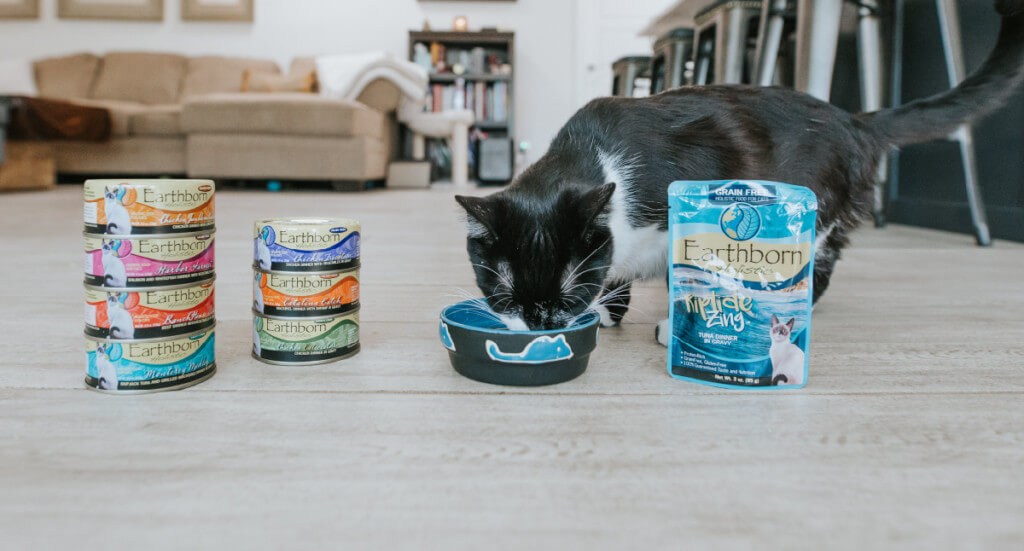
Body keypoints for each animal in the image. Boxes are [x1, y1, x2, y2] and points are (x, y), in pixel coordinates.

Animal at [458, 1, 1024, 333]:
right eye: (505, 293)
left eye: (567, 290)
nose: (541, 323)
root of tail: (854, 120)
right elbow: (616, 273)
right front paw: (610, 312)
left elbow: (684, 272)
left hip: (815, 207)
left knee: (817, 261)